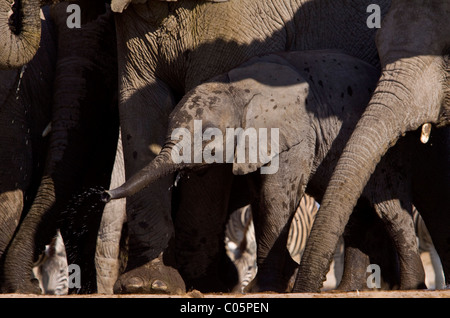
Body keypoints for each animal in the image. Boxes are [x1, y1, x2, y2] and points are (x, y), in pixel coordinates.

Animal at [104, 50, 426, 294]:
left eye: (208, 137)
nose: (102, 194)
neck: (236, 89)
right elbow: (260, 201)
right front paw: (278, 282)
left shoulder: (296, 134)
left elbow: (275, 197)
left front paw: (266, 288)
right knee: (355, 214)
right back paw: (348, 290)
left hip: (391, 151)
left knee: (388, 207)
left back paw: (411, 287)